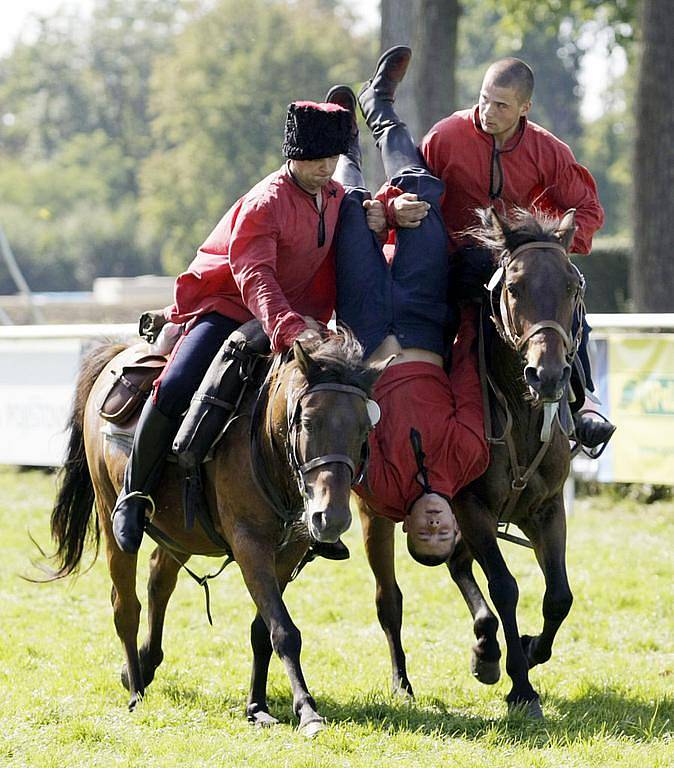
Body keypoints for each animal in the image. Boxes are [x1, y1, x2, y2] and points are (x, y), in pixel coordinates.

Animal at [45, 332, 380, 736]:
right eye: (308, 422)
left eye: (364, 429)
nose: (330, 518)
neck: (264, 442)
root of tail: (120, 353)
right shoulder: (250, 545)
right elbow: (283, 630)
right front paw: (308, 711)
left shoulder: (288, 552)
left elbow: (263, 629)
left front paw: (257, 706)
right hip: (112, 520)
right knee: (126, 606)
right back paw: (137, 690)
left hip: (181, 533)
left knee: (159, 580)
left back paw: (141, 666)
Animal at [356, 206, 584, 720]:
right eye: (514, 287)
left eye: (570, 286)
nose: (548, 375)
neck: (519, 413)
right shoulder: (472, 507)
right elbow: (505, 587)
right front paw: (523, 688)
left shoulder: (548, 508)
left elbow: (558, 596)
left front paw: (528, 648)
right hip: (374, 514)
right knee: (389, 598)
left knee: (459, 565)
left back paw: (486, 646)